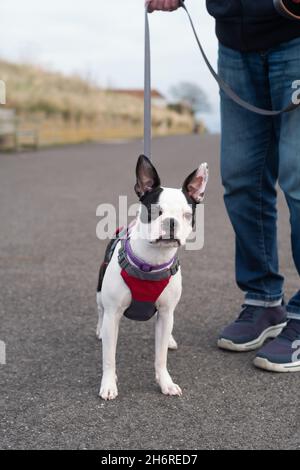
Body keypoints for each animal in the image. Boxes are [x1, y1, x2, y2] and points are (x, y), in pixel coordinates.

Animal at [96, 154, 209, 400]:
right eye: (155, 211)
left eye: (187, 215)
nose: (171, 222)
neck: (151, 262)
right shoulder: (113, 314)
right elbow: (109, 357)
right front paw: (108, 384)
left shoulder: (166, 313)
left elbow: (160, 357)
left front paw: (165, 382)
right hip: (99, 294)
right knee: (100, 311)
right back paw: (99, 330)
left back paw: (171, 340)